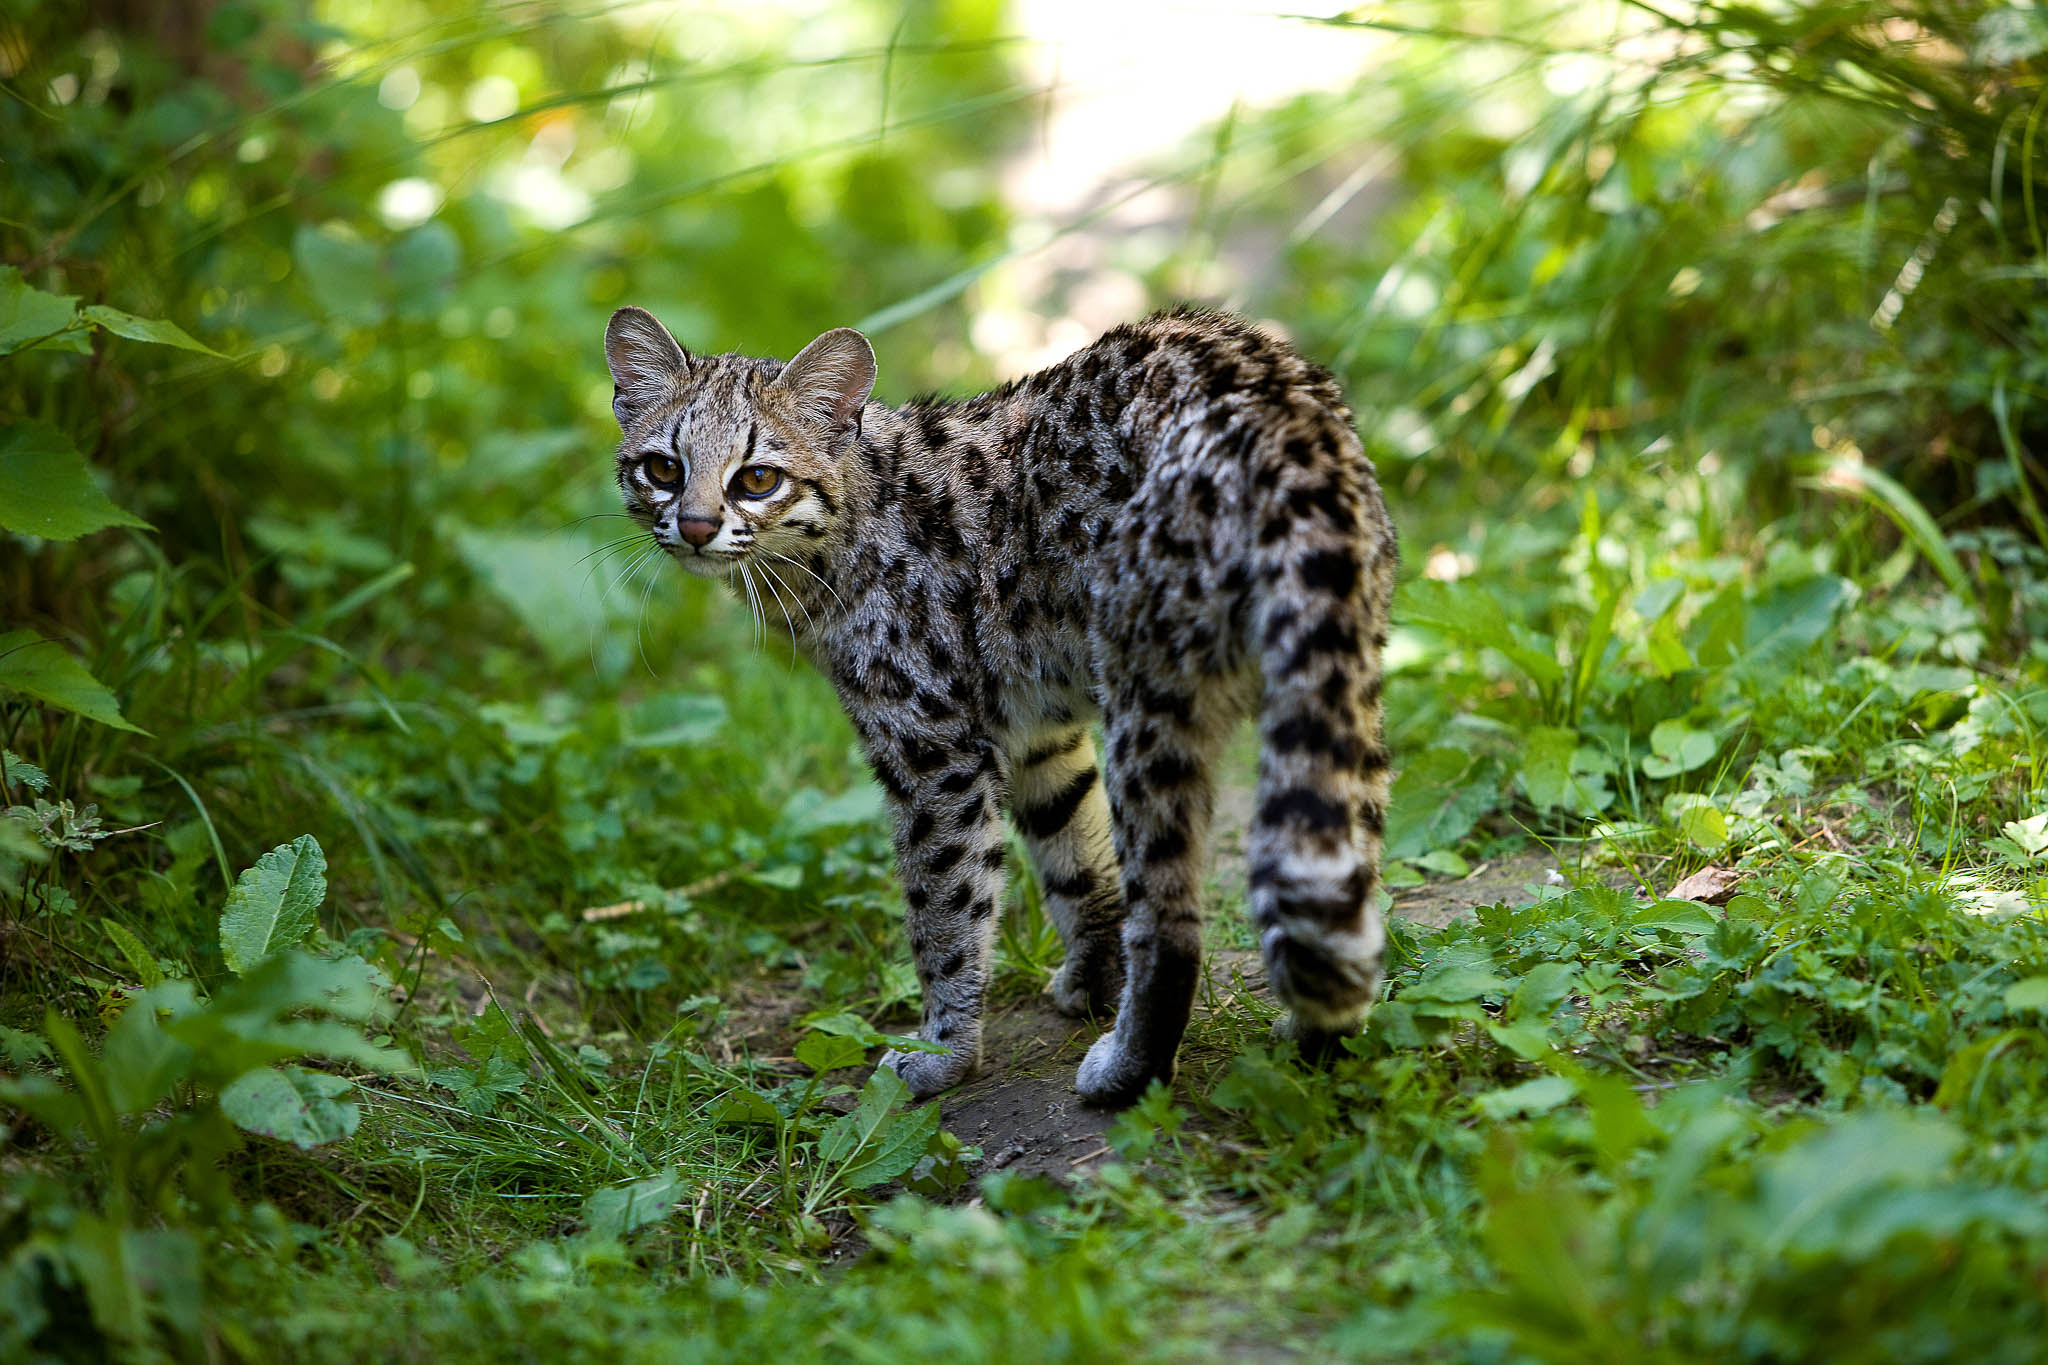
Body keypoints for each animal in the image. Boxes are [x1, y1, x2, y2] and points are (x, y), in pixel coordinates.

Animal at [598, 304, 1392, 1105]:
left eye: (757, 478)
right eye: (664, 468)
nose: (696, 527)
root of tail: (1284, 420)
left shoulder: (931, 750)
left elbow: (946, 908)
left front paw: (944, 1050)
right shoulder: (1039, 730)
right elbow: (1075, 860)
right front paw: (1093, 979)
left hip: (1149, 696)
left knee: (1171, 918)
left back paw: (1130, 1070)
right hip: (1340, 677)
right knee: (1341, 877)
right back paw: (1318, 1041)